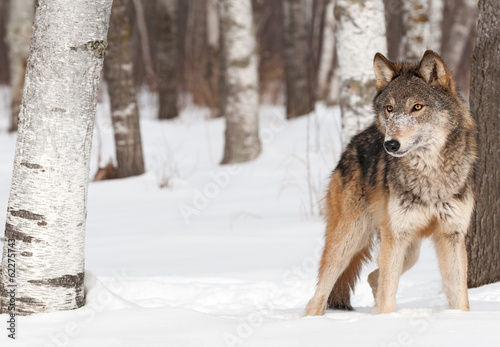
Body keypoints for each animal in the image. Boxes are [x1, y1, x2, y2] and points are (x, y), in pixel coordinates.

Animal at [304, 50, 476, 316]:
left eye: (417, 107)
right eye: (389, 108)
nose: (390, 144)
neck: (430, 175)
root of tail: (353, 142)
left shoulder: (451, 235)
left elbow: (460, 299)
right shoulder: (396, 236)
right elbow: (387, 299)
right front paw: (386, 321)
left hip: (408, 250)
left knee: (374, 275)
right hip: (351, 239)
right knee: (319, 295)